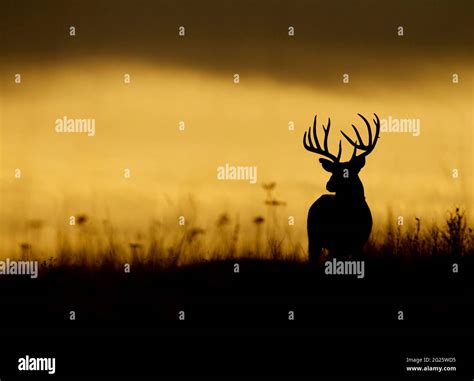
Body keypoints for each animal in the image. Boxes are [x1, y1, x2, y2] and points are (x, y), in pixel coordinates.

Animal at [304, 111, 382, 262]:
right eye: (333, 170)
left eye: (347, 172)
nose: (328, 184)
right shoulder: (335, 244)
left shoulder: (359, 244)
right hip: (313, 239)